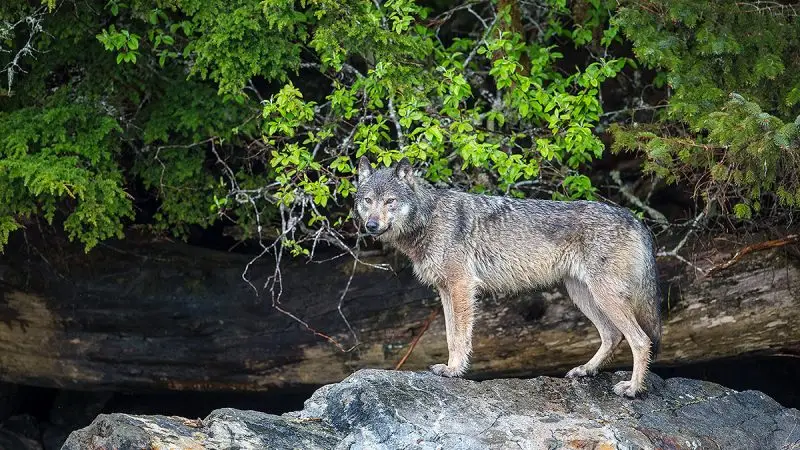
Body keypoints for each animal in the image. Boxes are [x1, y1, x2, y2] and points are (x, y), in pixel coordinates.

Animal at [354, 156, 662, 398]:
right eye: (368, 201)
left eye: (390, 201)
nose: (371, 225)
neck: (428, 219)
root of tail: (636, 219)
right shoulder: (445, 290)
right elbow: (451, 335)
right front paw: (452, 367)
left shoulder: (461, 286)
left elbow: (460, 337)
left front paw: (454, 370)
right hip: (582, 295)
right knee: (612, 335)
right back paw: (586, 370)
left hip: (603, 296)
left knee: (640, 340)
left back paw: (633, 389)